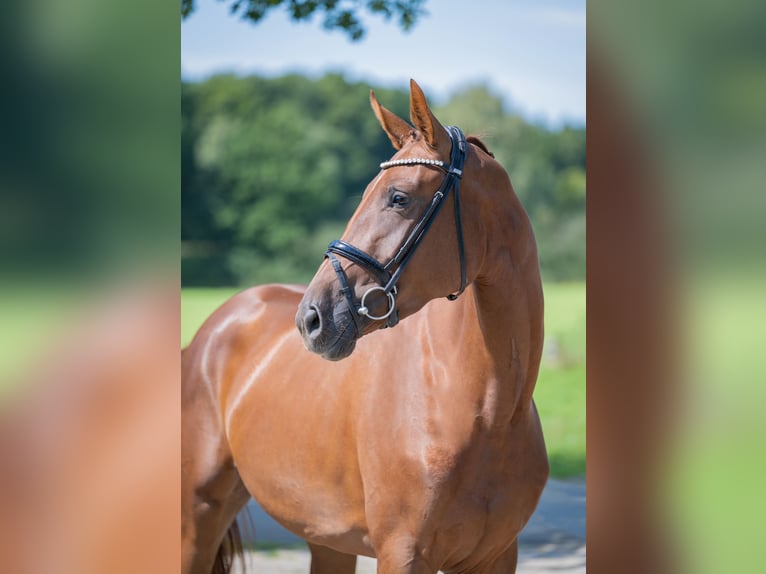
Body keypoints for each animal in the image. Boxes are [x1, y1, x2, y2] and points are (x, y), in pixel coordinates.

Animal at [181, 79, 548, 574]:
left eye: (398, 197)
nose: (311, 318)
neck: (486, 410)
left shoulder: (497, 556)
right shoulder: (402, 552)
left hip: (326, 538)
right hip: (198, 515)